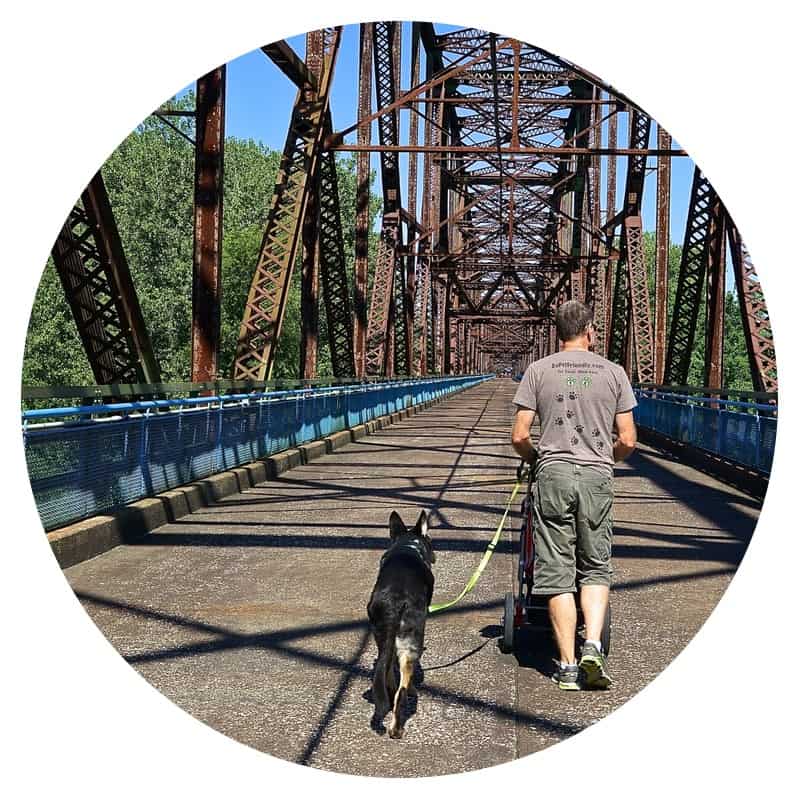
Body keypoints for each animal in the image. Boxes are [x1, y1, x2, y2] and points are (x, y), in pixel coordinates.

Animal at [368, 510, 434, 740]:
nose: (434, 556)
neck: (408, 544)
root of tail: (394, 601)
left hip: (382, 637)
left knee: (387, 672)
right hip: (411, 644)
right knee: (402, 691)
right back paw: (397, 728)